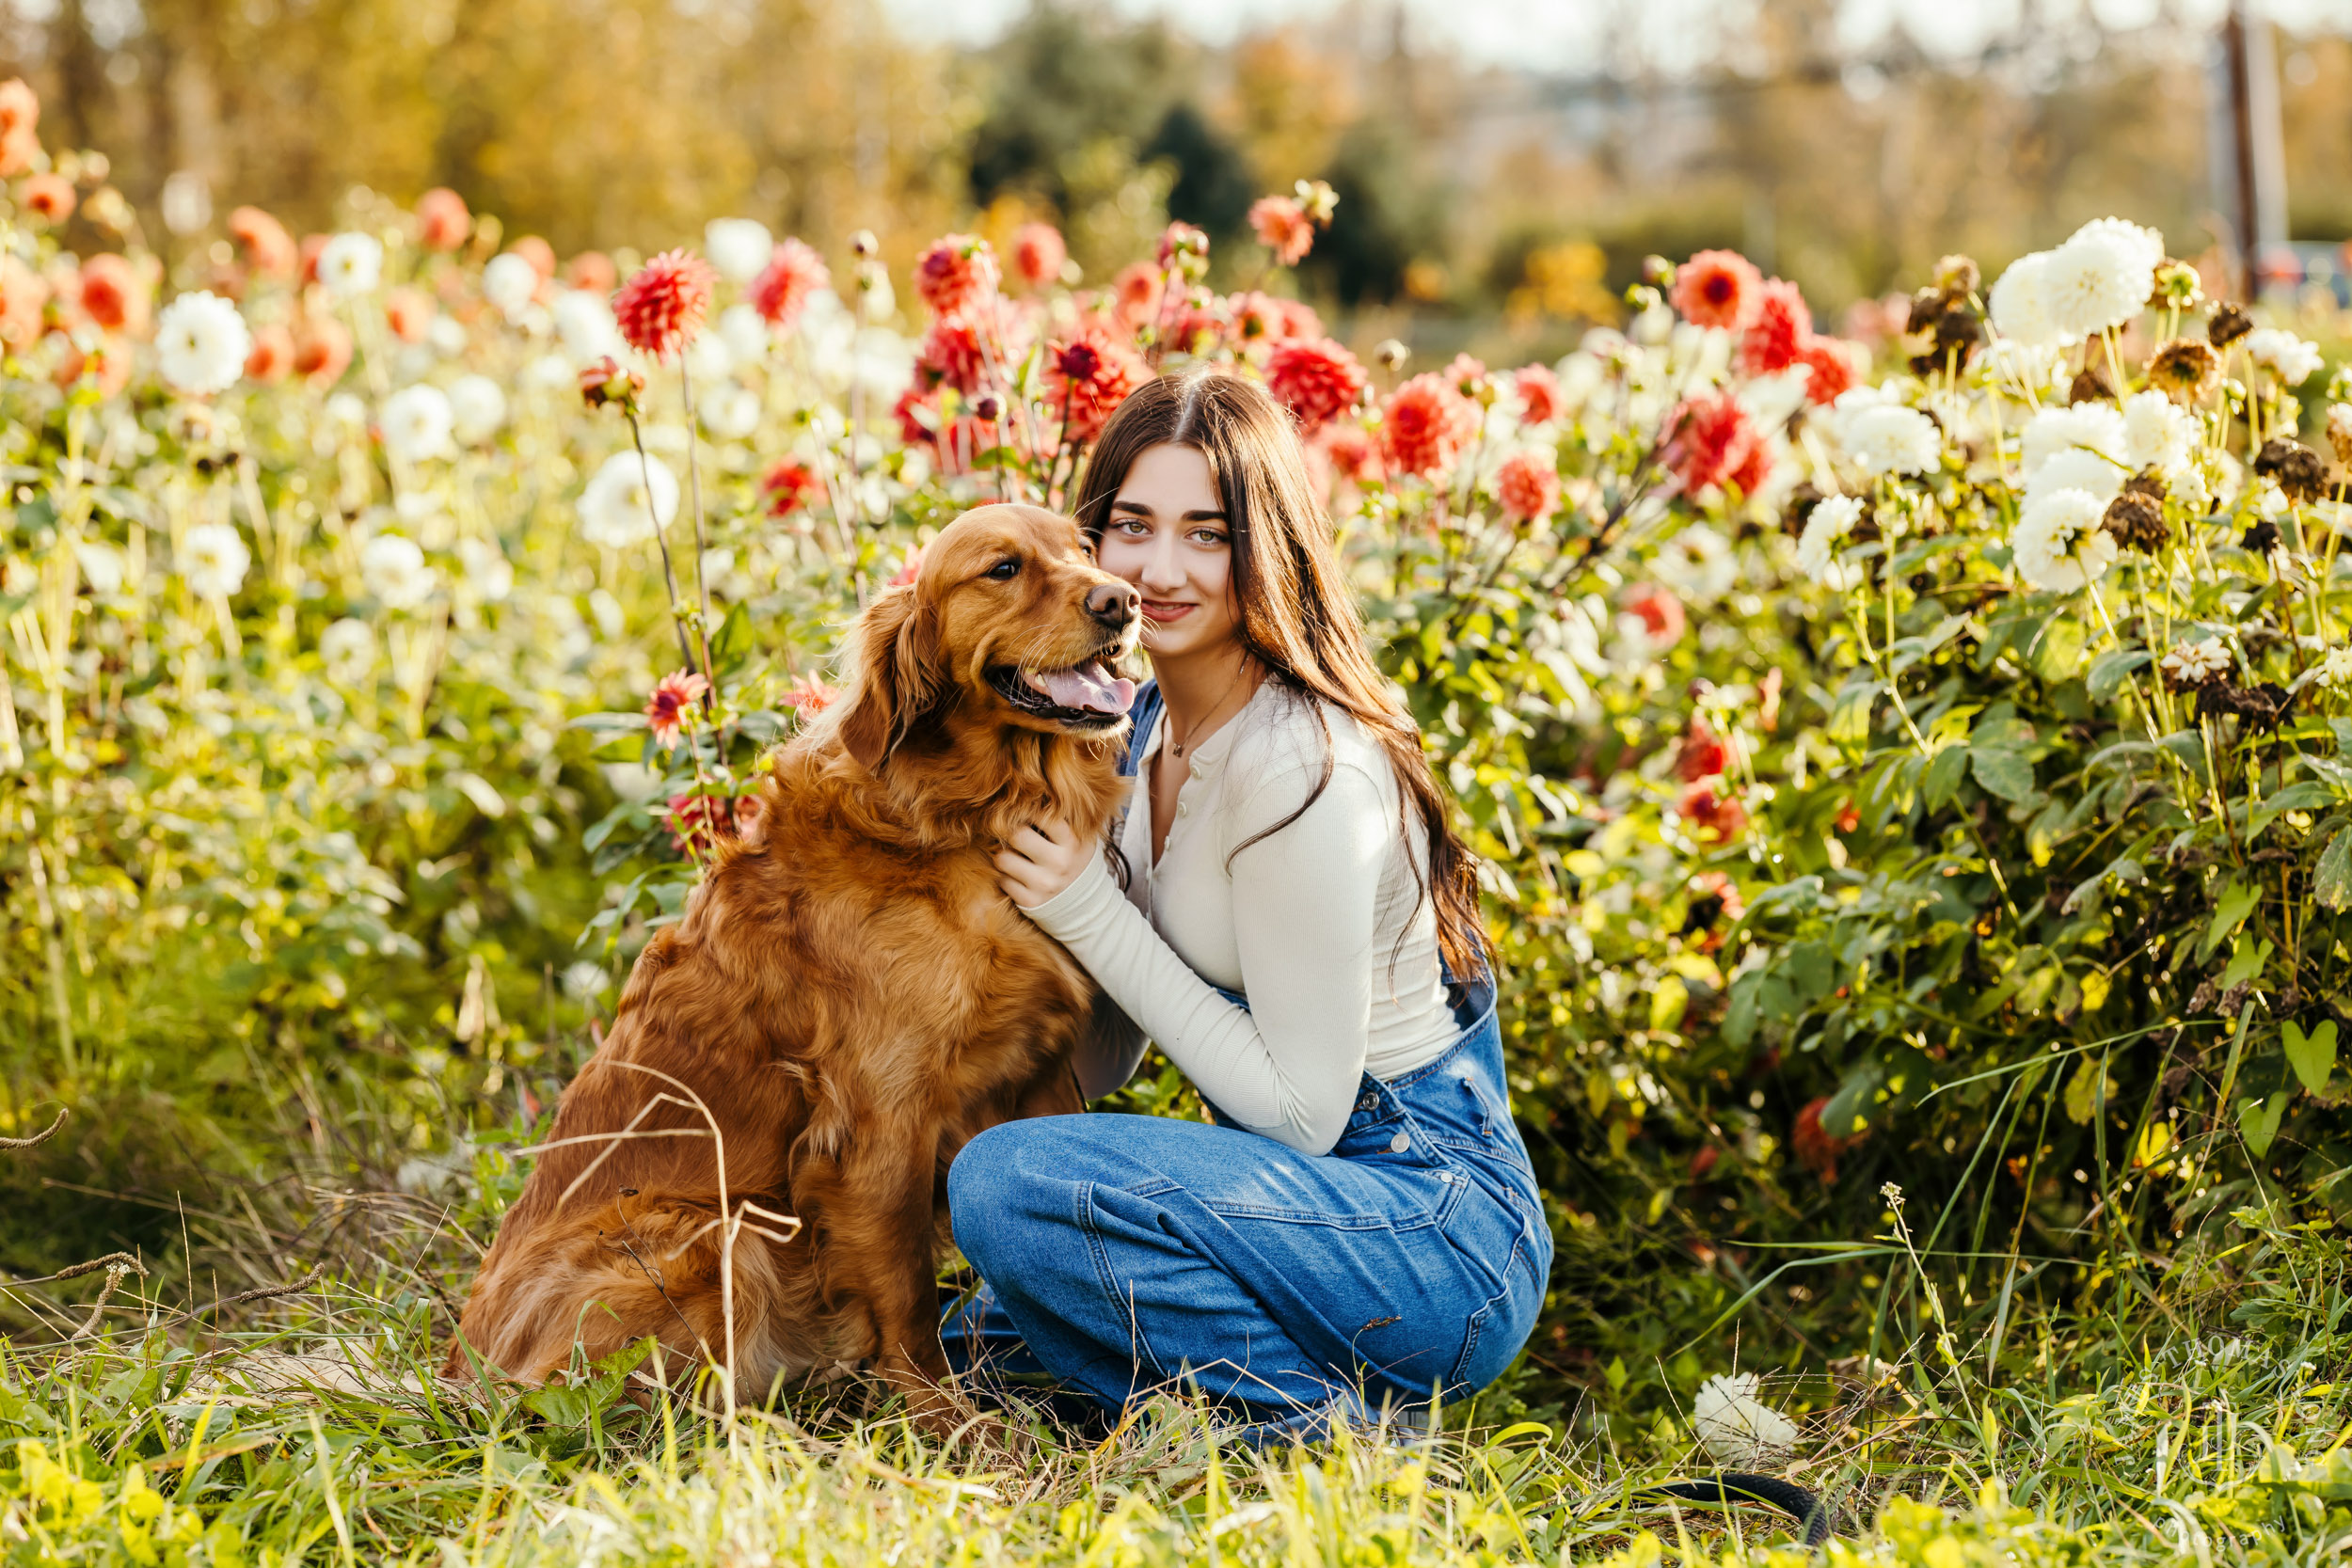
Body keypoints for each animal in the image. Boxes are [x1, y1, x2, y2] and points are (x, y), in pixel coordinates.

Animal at [447, 510, 1138, 1419]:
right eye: (1002, 568)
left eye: (1084, 549)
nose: (1122, 601)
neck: (960, 817)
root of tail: (461, 1369)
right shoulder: (877, 1120)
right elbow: (907, 1296)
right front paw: (949, 1424)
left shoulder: (1038, 1072)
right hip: (719, 1234)